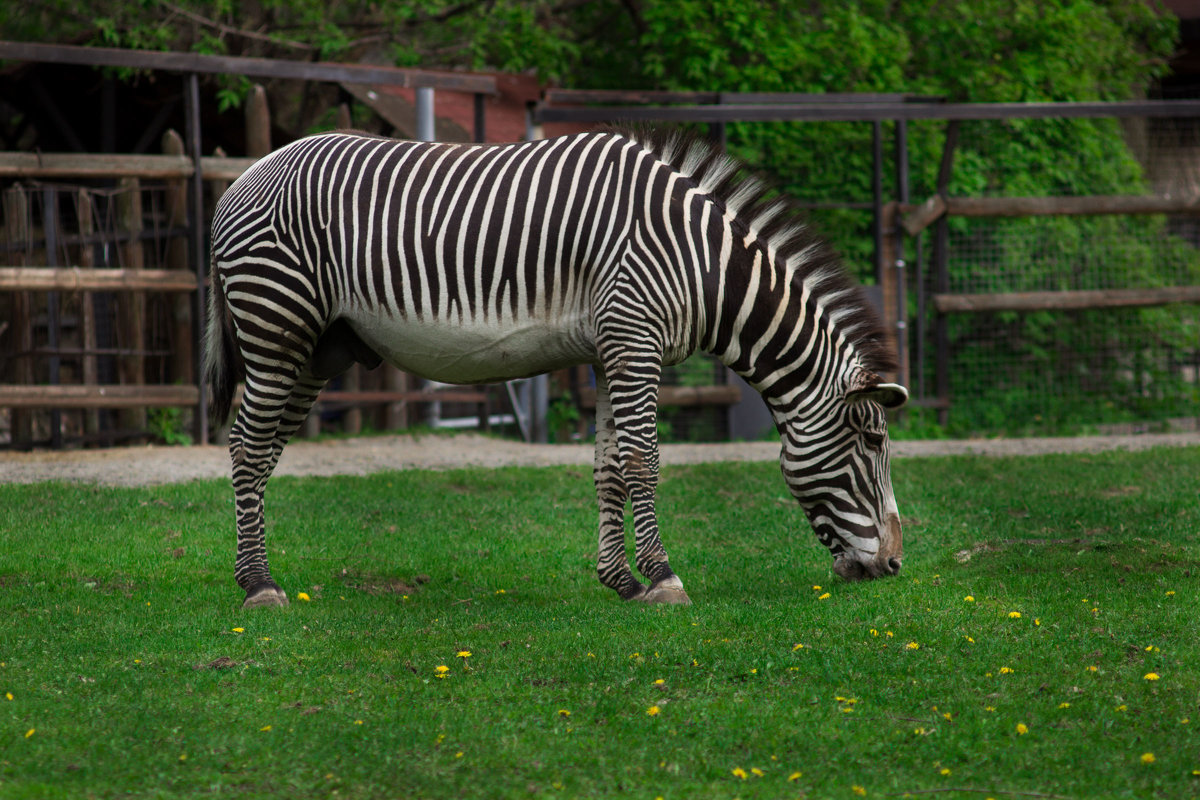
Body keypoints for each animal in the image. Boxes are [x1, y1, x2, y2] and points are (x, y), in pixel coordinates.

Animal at [208, 128, 907, 609]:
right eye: (872, 441)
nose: (896, 566)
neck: (705, 266)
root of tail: (246, 175)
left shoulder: (610, 351)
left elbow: (610, 470)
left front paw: (623, 582)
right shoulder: (634, 340)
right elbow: (644, 462)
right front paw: (665, 578)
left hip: (317, 348)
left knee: (261, 454)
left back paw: (257, 575)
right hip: (276, 323)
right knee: (246, 447)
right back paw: (259, 586)